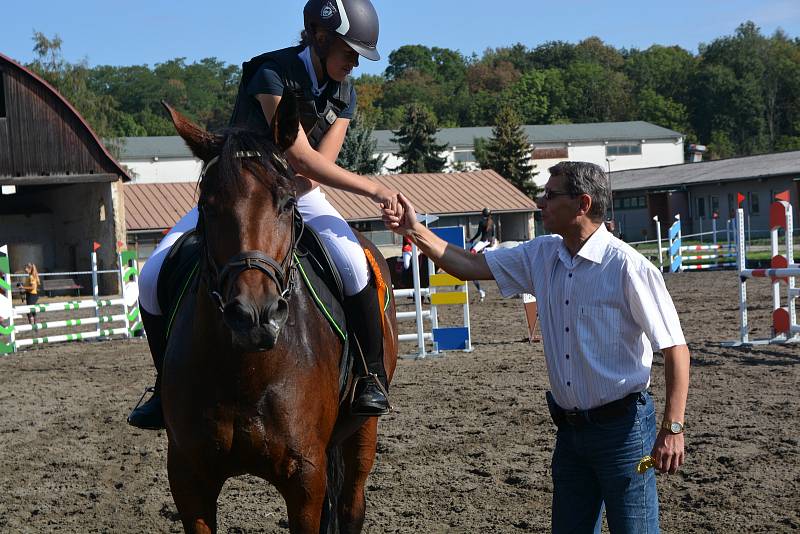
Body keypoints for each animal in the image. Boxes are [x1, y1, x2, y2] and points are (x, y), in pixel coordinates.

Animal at [160, 97, 396, 534]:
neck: (245, 374)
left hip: (362, 431)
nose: (255, 316)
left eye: (287, 202)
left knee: (352, 505)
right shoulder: (188, 478)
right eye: (207, 206)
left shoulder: (305, 478)